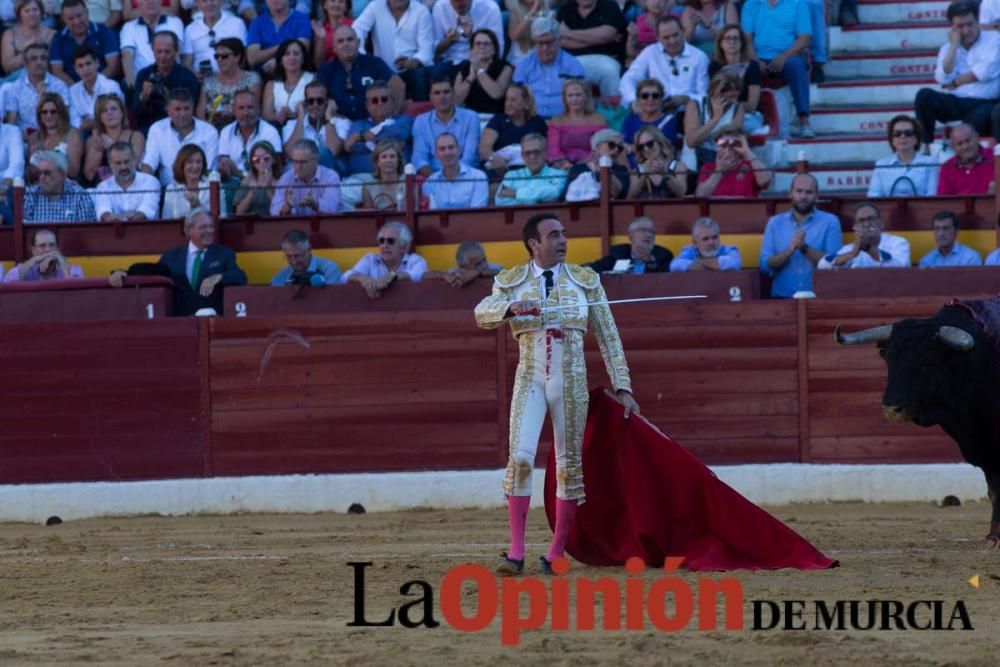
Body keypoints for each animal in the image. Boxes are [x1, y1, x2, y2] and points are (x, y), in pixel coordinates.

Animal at [836, 300, 1000, 544]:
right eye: (889, 359)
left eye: (926, 362)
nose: (891, 409)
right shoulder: (982, 445)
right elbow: (994, 489)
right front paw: (993, 536)